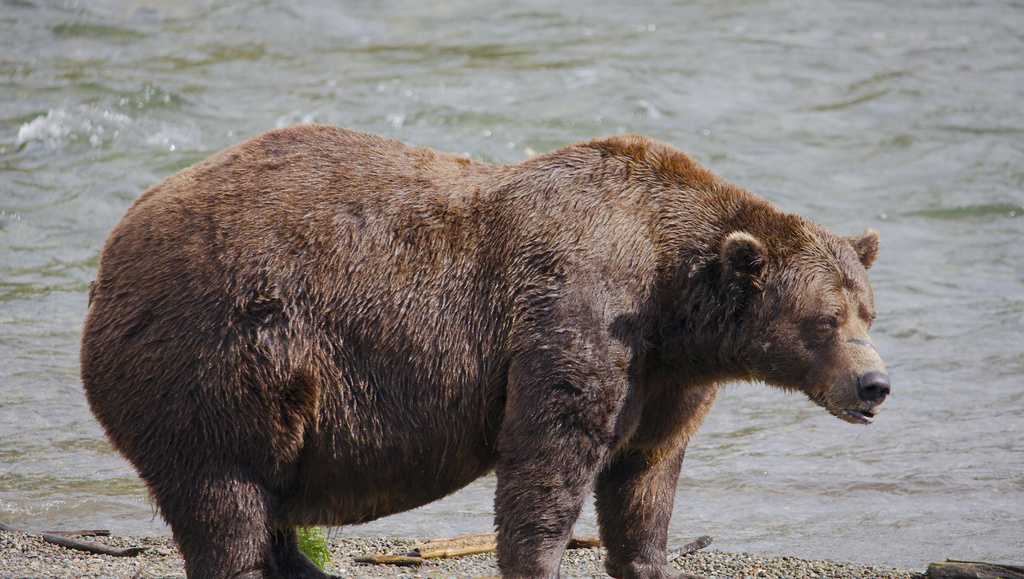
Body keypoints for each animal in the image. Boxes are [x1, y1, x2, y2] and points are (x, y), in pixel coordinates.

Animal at [81, 123, 888, 573]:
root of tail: (111, 253)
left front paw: (646, 556)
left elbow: (645, 477)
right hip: (218, 355)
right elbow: (549, 459)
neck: (673, 299)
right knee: (227, 500)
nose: (874, 385)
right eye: (825, 319)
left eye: (868, 312)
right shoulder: (578, 314)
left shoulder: (665, 379)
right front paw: (539, 556)